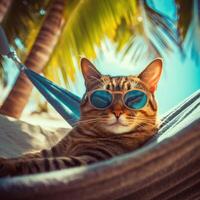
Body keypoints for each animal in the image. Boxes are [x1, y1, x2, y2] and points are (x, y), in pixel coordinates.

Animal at [0, 57, 162, 177]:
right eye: (101, 98)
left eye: (134, 98)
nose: (117, 112)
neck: (83, 136)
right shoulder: (53, 151)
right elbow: (29, 156)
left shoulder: (89, 160)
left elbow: (38, 163)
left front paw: (6, 165)